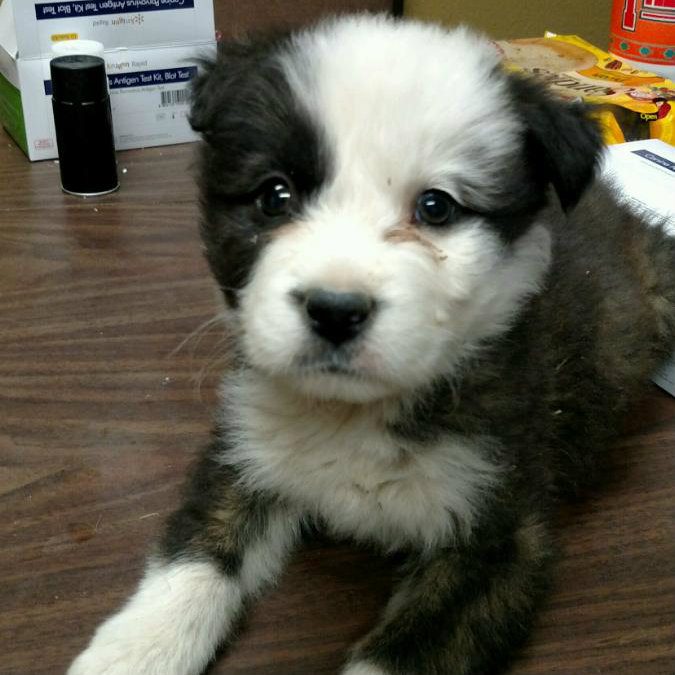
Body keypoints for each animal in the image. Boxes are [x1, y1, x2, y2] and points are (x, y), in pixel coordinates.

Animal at [70, 11, 675, 675]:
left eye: (436, 207)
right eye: (274, 195)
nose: (334, 311)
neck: (352, 413)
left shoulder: (499, 535)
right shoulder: (247, 446)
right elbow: (197, 551)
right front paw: (134, 649)